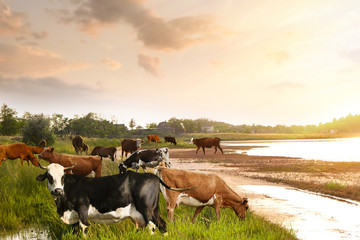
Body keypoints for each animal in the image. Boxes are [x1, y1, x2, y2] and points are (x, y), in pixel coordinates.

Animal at [35, 162, 194, 235]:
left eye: (62, 176)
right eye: (49, 176)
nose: (58, 191)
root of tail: (152, 175)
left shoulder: (82, 210)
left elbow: (83, 228)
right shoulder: (73, 216)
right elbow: (75, 231)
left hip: (147, 209)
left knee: (152, 225)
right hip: (154, 209)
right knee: (162, 224)